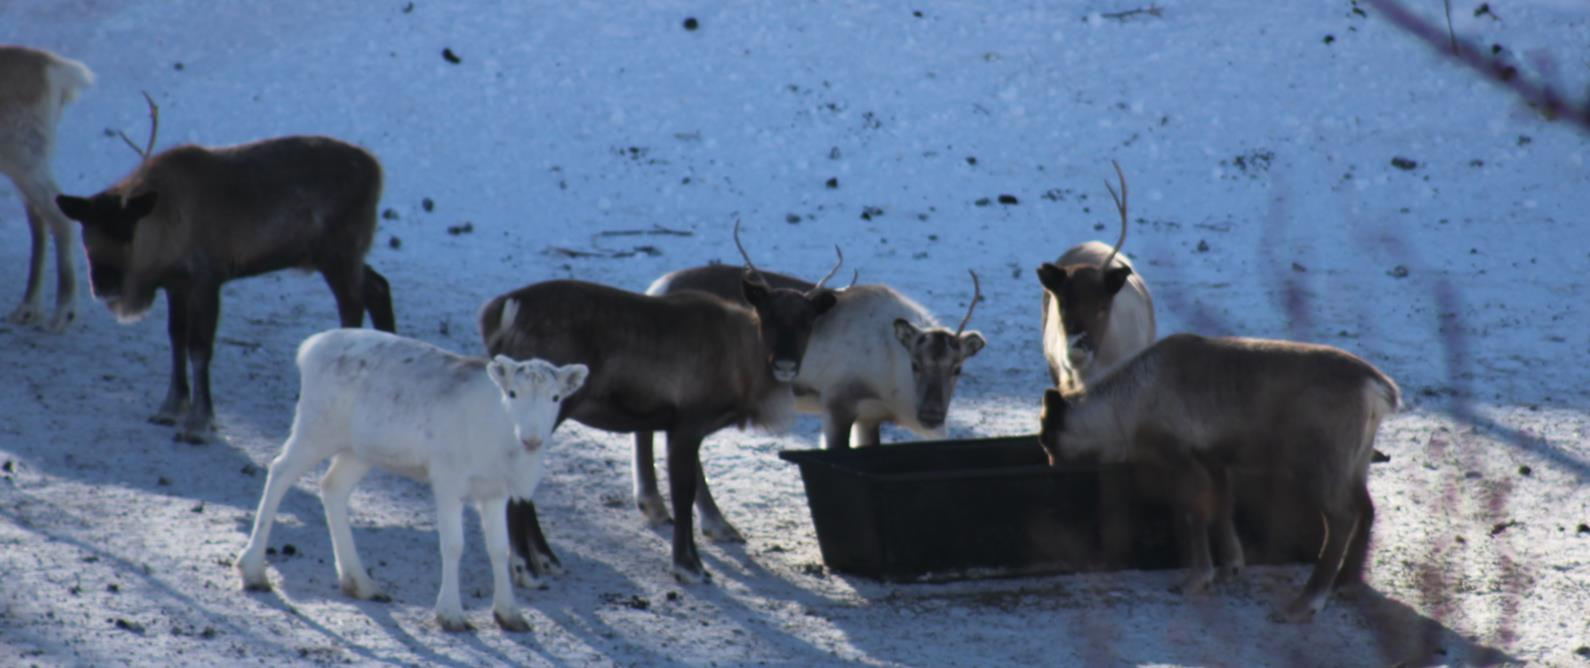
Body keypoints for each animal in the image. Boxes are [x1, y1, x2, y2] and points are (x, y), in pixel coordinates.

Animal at [232, 329, 588, 633]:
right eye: (513, 393)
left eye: (555, 397)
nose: (532, 439)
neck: (501, 438)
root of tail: (308, 348)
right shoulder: (447, 478)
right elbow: (453, 545)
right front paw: (451, 615)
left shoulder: (494, 492)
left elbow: (499, 549)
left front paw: (510, 615)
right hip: (316, 428)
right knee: (279, 471)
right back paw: (253, 571)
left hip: (357, 450)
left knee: (332, 487)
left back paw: (360, 583)